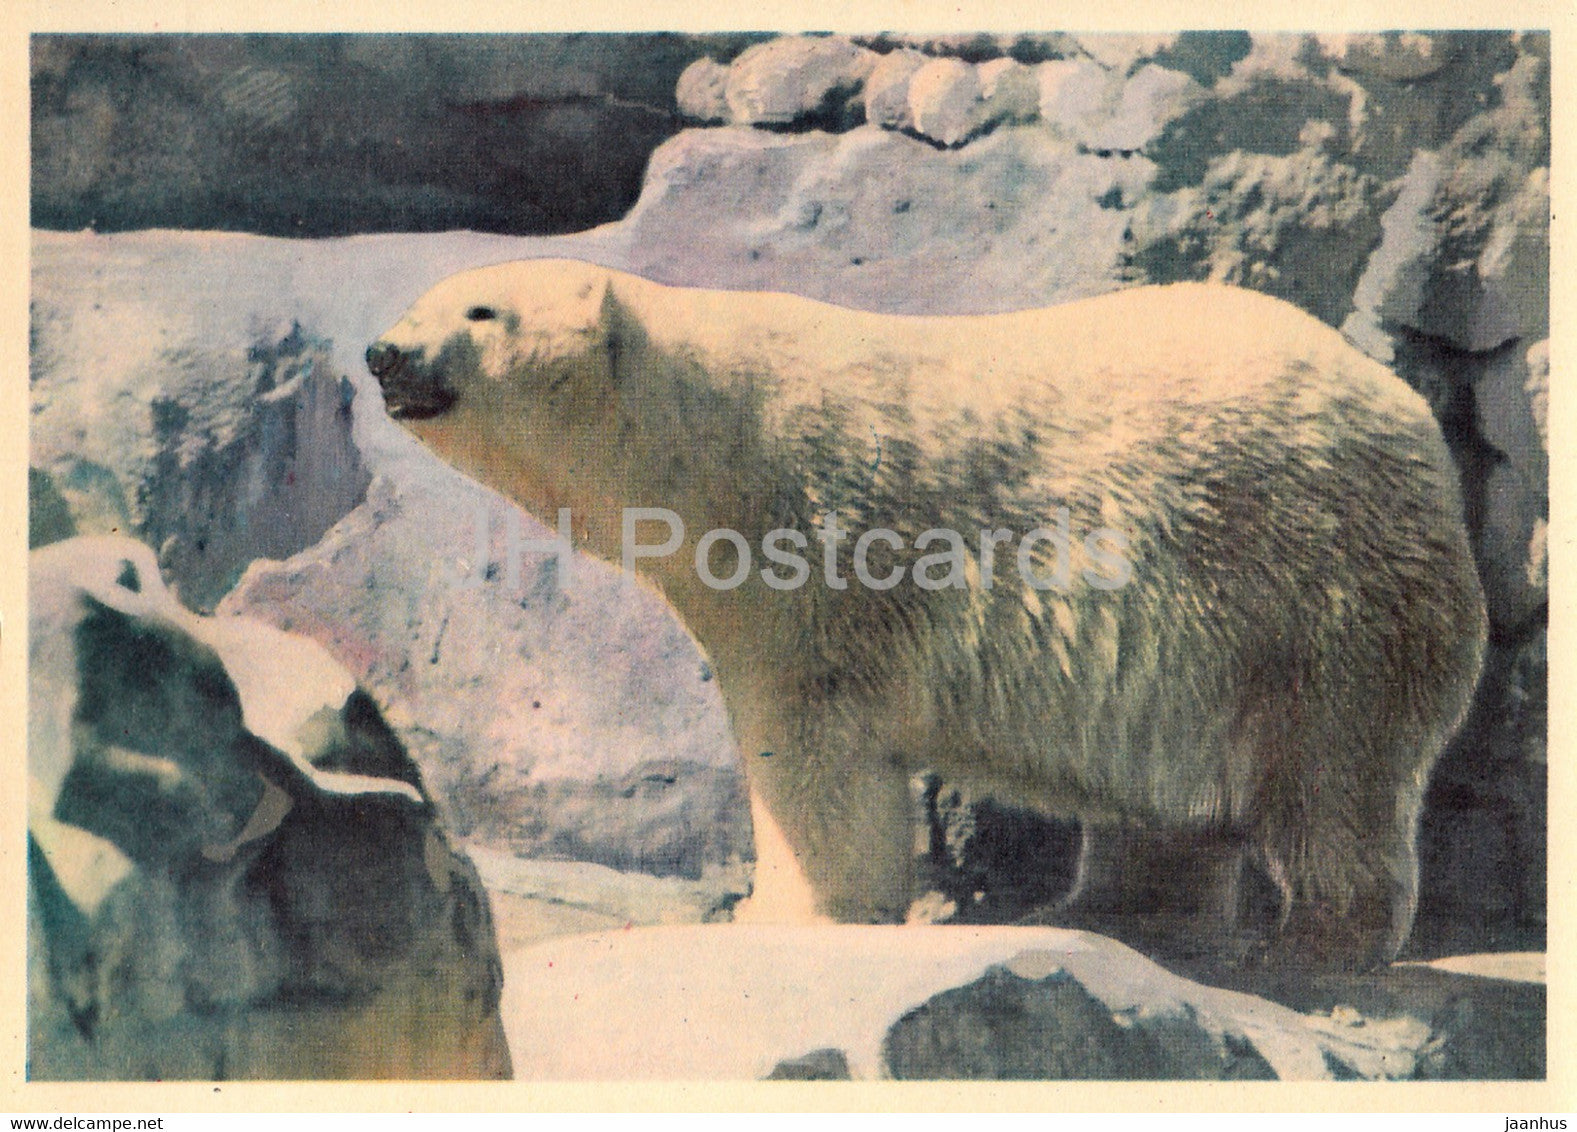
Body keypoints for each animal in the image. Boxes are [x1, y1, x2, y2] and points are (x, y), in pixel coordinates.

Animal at [366, 258, 1487, 972]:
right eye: (422, 299)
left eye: (479, 311)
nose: (384, 352)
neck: (714, 439)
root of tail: (1407, 413)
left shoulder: (820, 551)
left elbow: (813, 748)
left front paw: (785, 911)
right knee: (1165, 796)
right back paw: (1113, 912)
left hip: (1309, 587)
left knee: (1331, 774)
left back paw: (1310, 943)